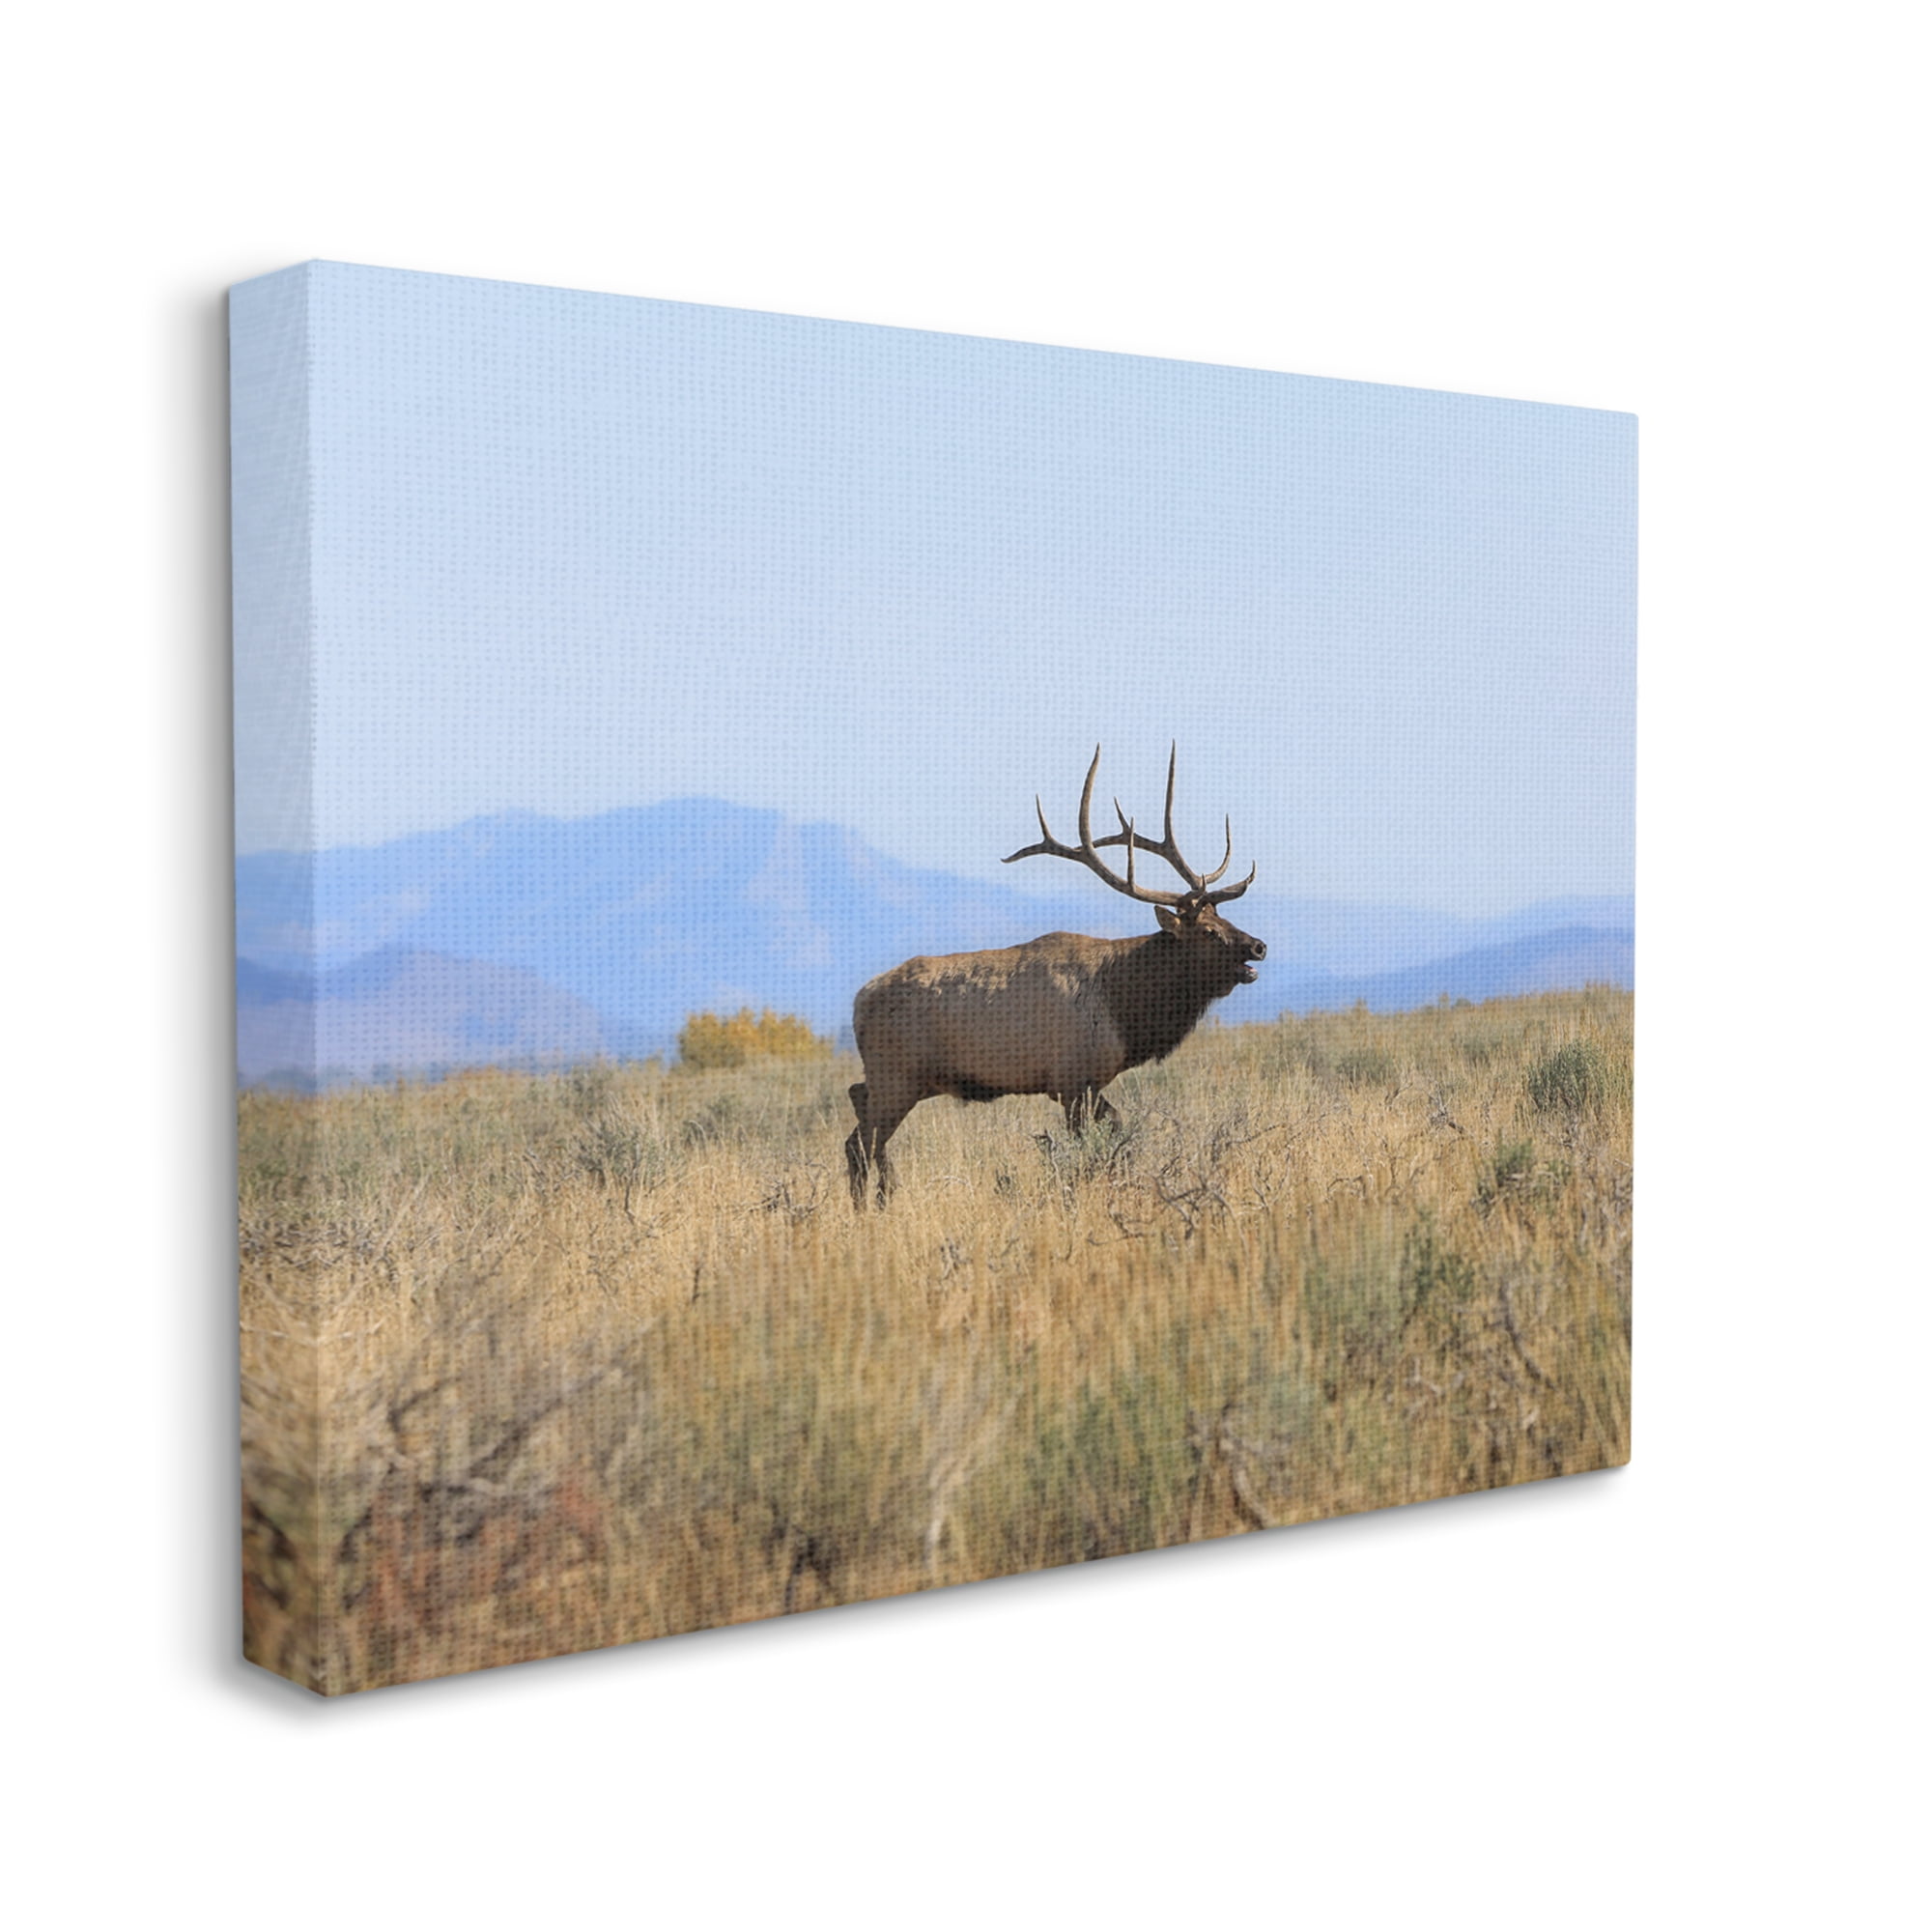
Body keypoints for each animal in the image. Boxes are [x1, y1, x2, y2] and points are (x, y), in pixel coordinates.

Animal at [844, 746, 1266, 1208]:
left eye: (1224, 918)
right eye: (1207, 931)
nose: (1258, 946)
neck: (1126, 1011)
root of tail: (858, 1001)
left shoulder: (1087, 1082)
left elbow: (1117, 1133)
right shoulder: (1071, 1079)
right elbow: (1095, 1144)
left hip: (905, 1080)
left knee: (857, 1108)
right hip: (896, 1074)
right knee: (860, 1142)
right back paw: (873, 1205)